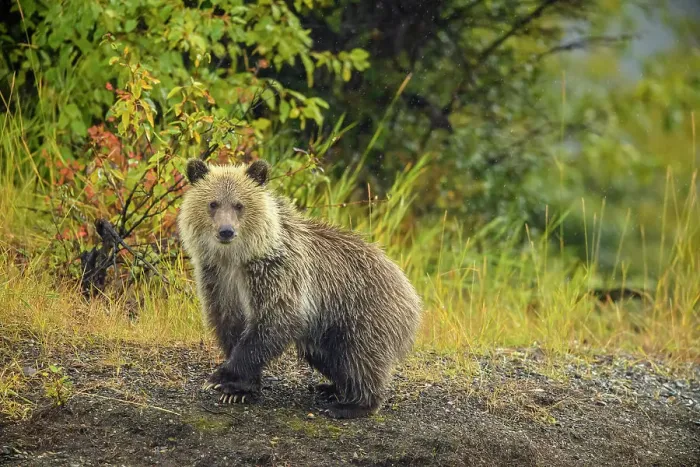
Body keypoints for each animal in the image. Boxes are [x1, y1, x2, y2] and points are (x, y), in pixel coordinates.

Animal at [177, 158, 422, 418]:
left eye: (239, 205)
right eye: (212, 203)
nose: (226, 231)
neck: (237, 259)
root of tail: (410, 290)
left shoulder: (277, 274)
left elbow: (273, 322)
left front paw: (222, 378)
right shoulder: (218, 280)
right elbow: (229, 325)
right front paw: (239, 390)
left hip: (363, 312)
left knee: (360, 357)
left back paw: (351, 404)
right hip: (327, 327)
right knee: (329, 356)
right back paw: (331, 388)